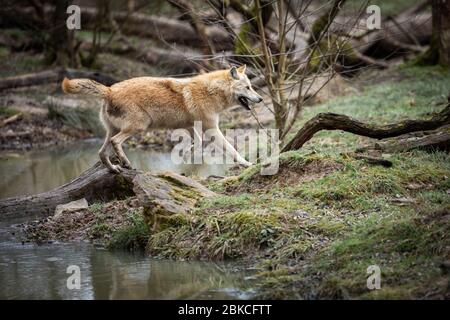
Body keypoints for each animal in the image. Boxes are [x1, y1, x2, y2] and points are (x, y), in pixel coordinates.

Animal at [61, 64, 262, 172]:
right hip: (138, 127)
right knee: (115, 142)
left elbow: (196, 145)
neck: (211, 92)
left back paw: (115, 169)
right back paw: (126, 163)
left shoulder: (191, 128)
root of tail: (109, 89)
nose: (260, 99)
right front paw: (247, 163)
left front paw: (186, 161)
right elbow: (232, 149)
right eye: (248, 87)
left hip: (113, 130)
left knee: (101, 152)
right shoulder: (212, 129)